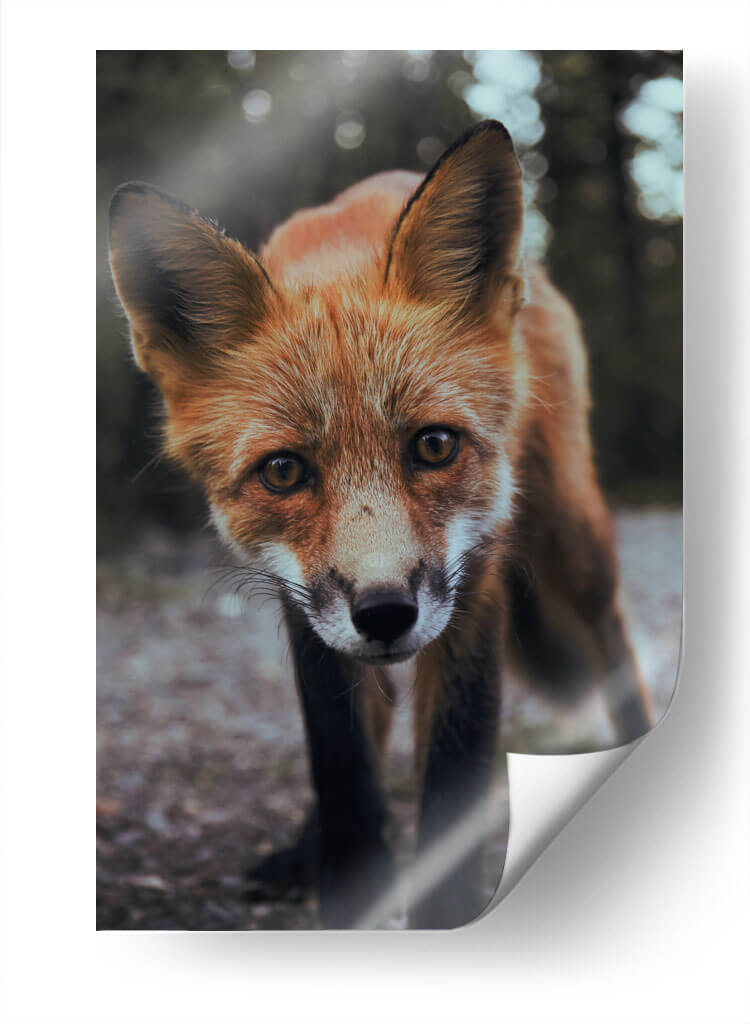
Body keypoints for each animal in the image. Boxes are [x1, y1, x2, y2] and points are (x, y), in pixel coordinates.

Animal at [108, 119, 653, 929]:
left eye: (434, 446)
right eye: (283, 471)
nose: (387, 612)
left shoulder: (474, 582)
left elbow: (454, 779)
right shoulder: (302, 602)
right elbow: (341, 766)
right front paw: (346, 887)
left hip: (572, 538)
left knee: (614, 643)